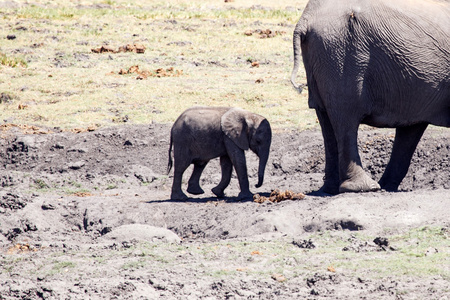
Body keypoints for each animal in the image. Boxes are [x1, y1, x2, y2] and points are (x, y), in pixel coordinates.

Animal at [290, 0, 448, 195]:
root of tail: (305, 19)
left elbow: (411, 128)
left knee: (326, 118)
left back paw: (332, 189)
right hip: (340, 55)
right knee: (345, 118)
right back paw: (364, 188)